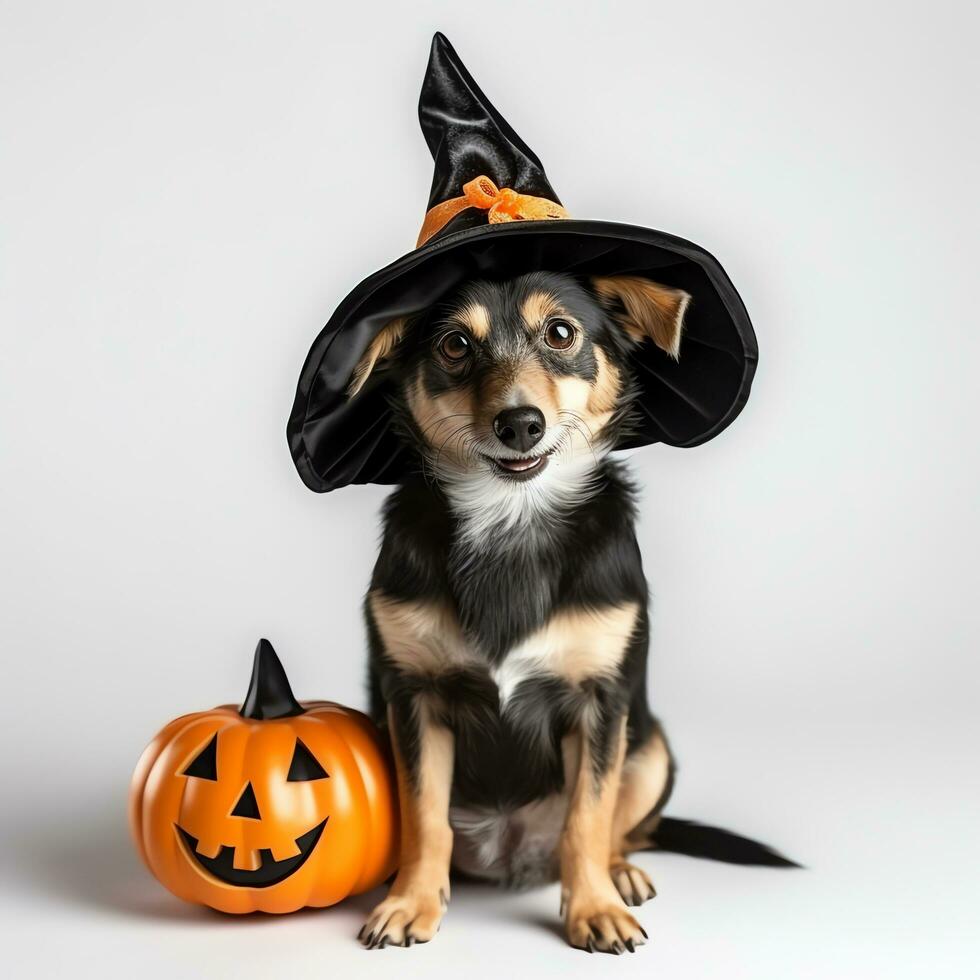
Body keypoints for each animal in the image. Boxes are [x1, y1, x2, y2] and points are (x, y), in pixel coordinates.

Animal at [348, 268, 792, 948]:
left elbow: (588, 815)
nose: (519, 424)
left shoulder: (599, 702)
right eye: (454, 345)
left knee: (617, 831)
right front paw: (410, 902)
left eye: (561, 333)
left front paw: (594, 909)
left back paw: (621, 875)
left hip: (650, 747)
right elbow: (424, 816)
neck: (510, 518)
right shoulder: (413, 699)